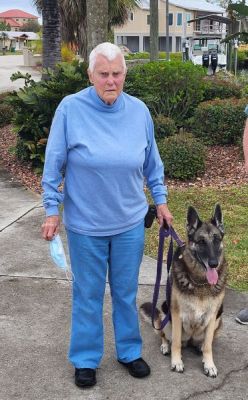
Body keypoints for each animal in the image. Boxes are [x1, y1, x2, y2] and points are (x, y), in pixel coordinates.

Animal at [140, 205, 227, 376]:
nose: (213, 264)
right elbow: (176, 343)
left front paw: (209, 364)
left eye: (216, 240)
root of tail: (191, 340)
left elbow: (208, 345)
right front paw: (176, 362)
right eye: (201, 242)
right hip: (165, 314)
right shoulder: (176, 314)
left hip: (218, 321)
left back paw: (200, 347)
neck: (200, 283)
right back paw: (165, 346)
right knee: (164, 335)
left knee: (205, 342)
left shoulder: (213, 316)